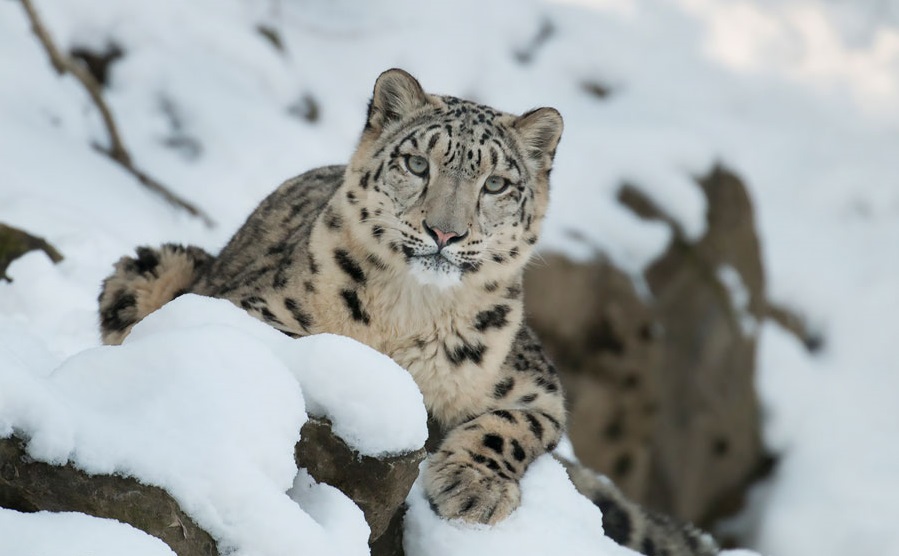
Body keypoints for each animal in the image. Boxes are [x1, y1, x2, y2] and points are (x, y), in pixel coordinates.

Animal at [96, 69, 716, 556]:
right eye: (418, 164)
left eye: (496, 183)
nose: (445, 232)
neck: (412, 313)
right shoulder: (249, 309)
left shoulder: (537, 386)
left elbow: (512, 427)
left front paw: (473, 489)